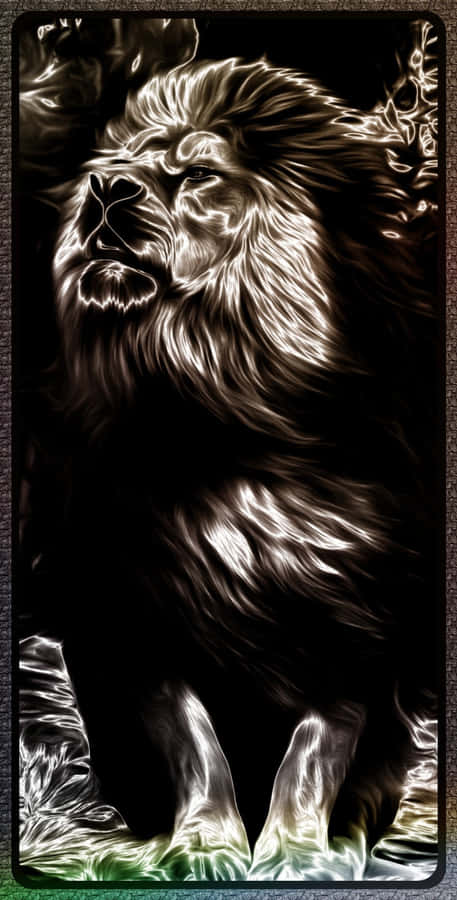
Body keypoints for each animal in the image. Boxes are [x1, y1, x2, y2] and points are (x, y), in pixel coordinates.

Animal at [23, 52, 437, 880]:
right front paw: (207, 845)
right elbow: (193, 739)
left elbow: (313, 752)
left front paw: (298, 851)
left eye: (199, 174)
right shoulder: (136, 618)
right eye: (116, 163)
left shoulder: (351, 622)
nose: (104, 189)